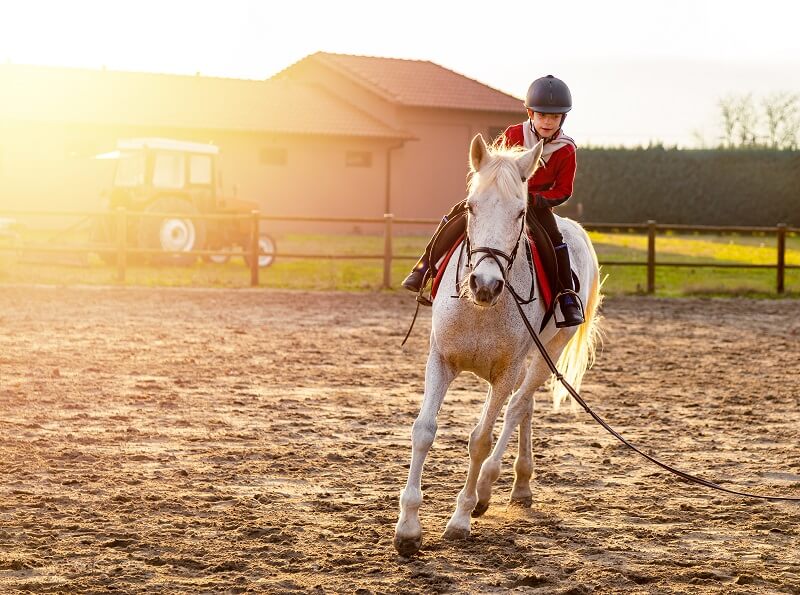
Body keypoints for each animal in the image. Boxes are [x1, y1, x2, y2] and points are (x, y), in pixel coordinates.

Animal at [394, 133, 600, 556]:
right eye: (471, 207)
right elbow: (424, 430)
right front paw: (407, 527)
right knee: (526, 408)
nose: (485, 284)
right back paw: (520, 485)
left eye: (521, 212)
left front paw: (460, 518)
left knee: (518, 407)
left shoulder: (505, 373)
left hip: (546, 354)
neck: (480, 309)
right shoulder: (440, 361)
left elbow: (480, 440)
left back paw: (491, 487)